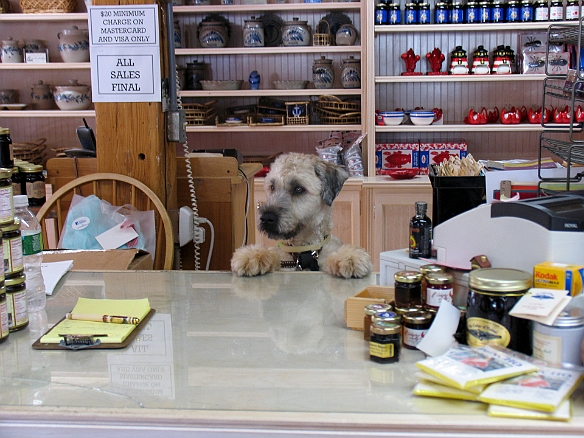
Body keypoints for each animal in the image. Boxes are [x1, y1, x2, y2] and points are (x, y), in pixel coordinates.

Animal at [230, 152, 372, 278]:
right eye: (272, 187)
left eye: (298, 189)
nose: (266, 218)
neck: (303, 255)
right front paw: (252, 255)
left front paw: (349, 257)